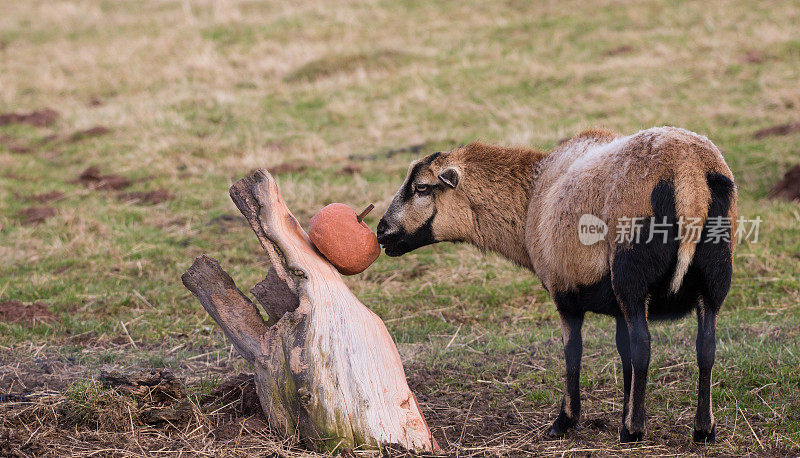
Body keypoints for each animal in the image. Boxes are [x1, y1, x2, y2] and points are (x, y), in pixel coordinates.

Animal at [376, 127, 736, 442]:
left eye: (422, 188)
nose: (380, 231)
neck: (531, 196)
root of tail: (687, 171)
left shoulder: (565, 292)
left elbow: (573, 352)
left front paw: (565, 422)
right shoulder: (615, 303)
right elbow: (622, 354)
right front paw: (620, 410)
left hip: (631, 273)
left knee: (644, 346)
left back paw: (633, 431)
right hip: (715, 273)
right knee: (706, 345)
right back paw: (703, 429)